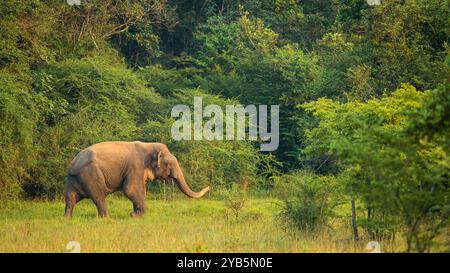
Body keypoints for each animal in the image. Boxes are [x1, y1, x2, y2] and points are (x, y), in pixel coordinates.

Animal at [64, 140, 211, 217]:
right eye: (169, 164)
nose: (209, 187)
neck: (149, 145)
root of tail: (73, 163)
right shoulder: (136, 166)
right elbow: (130, 189)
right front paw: (136, 215)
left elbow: (140, 190)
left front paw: (136, 214)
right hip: (91, 175)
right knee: (98, 196)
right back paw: (106, 218)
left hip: (74, 179)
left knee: (71, 198)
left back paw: (67, 218)